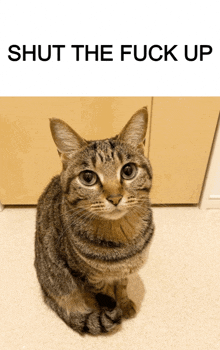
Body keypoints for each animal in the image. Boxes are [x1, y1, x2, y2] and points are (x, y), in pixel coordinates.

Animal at [34, 107, 155, 336]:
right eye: (88, 177)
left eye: (128, 171)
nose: (115, 198)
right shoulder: (89, 277)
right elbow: (105, 293)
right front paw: (113, 310)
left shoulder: (124, 271)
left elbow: (122, 287)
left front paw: (125, 304)